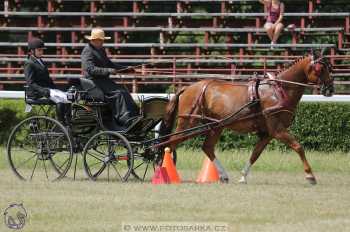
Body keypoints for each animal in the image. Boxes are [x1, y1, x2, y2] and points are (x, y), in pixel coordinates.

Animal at [164, 51, 334, 185]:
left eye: (329, 67)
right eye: (321, 68)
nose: (330, 89)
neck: (279, 91)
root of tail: (188, 87)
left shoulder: (267, 134)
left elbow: (255, 154)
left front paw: (243, 177)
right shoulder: (277, 130)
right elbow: (298, 146)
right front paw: (310, 176)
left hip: (216, 126)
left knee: (207, 147)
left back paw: (223, 175)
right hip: (188, 121)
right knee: (171, 143)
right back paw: (165, 171)